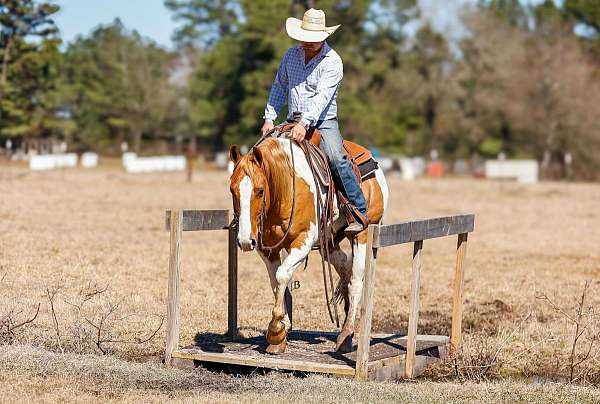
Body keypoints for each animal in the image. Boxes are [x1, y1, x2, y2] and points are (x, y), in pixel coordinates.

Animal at [230, 136, 390, 354]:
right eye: (232, 190)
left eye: (260, 190)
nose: (246, 241)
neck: (285, 187)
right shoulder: (268, 250)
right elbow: (275, 283)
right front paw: (281, 333)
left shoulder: (302, 242)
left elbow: (282, 275)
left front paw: (276, 330)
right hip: (329, 242)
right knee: (345, 267)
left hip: (363, 234)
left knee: (356, 279)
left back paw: (346, 333)